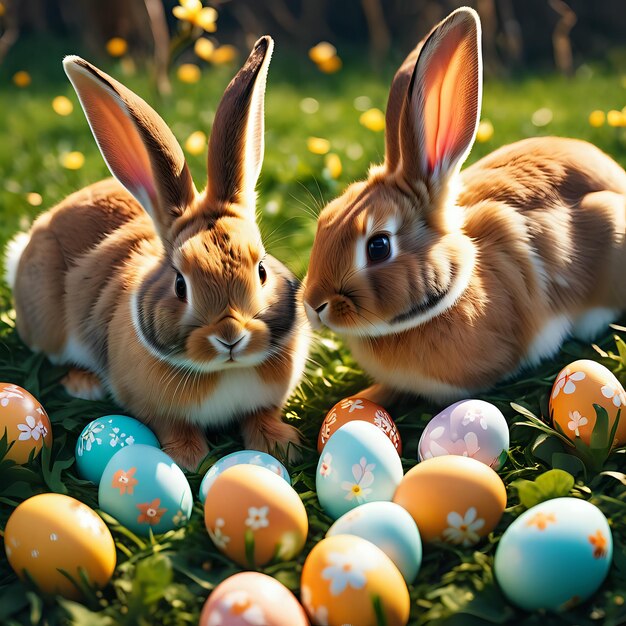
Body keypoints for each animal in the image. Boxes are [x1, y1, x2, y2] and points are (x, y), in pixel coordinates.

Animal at [3, 36, 308, 466]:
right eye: (181, 285)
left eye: (262, 270)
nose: (230, 336)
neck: (222, 371)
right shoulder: (155, 409)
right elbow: (172, 426)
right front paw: (187, 458)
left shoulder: (265, 401)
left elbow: (261, 416)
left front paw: (280, 445)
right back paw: (84, 384)